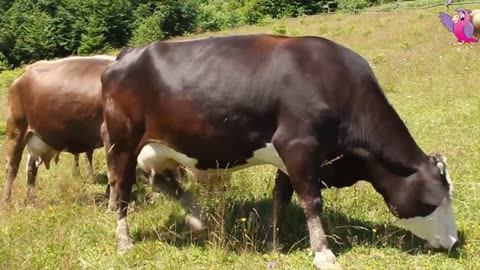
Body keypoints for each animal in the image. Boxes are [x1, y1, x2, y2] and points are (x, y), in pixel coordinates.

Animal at [2, 54, 115, 204]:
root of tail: (23, 75)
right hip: (16, 129)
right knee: (12, 166)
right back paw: (6, 201)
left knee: (31, 168)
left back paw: (31, 200)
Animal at [100, 34, 458, 268]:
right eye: (434, 201)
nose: (454, 243)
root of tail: (126, 54)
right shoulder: (298, 146)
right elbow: (311, 201)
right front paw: (323, 254)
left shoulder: (290, 157)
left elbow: (281, 198)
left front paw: (273, 243)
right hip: (123, 142)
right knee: (121, 190)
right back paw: (124, 241)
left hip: (159, 148)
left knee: (164, 181)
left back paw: (198, 218)